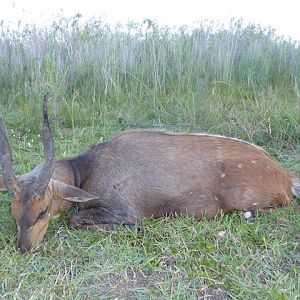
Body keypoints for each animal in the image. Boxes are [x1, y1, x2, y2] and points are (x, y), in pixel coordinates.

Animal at [0, 97, 298, 252]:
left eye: (43, 210)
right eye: (14, 213)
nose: (24, 247)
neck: (85, 170)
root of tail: (286, 175)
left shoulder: (123, 210)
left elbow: (76, 220)